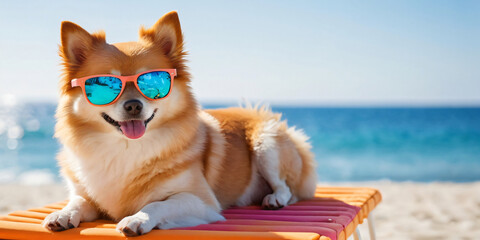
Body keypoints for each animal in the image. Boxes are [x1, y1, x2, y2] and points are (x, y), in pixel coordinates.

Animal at [42, 10, 318, 235]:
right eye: (104, 86)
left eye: (152, 82)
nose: (133, 105)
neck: (126, 149)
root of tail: (260, 113)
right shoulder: (87, 194)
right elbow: (78, 201)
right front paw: (63, 213)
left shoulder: (203, 202)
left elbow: (159, 203)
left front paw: (138, 218)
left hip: (266, 143)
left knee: (288, 188)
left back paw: (275, 198)